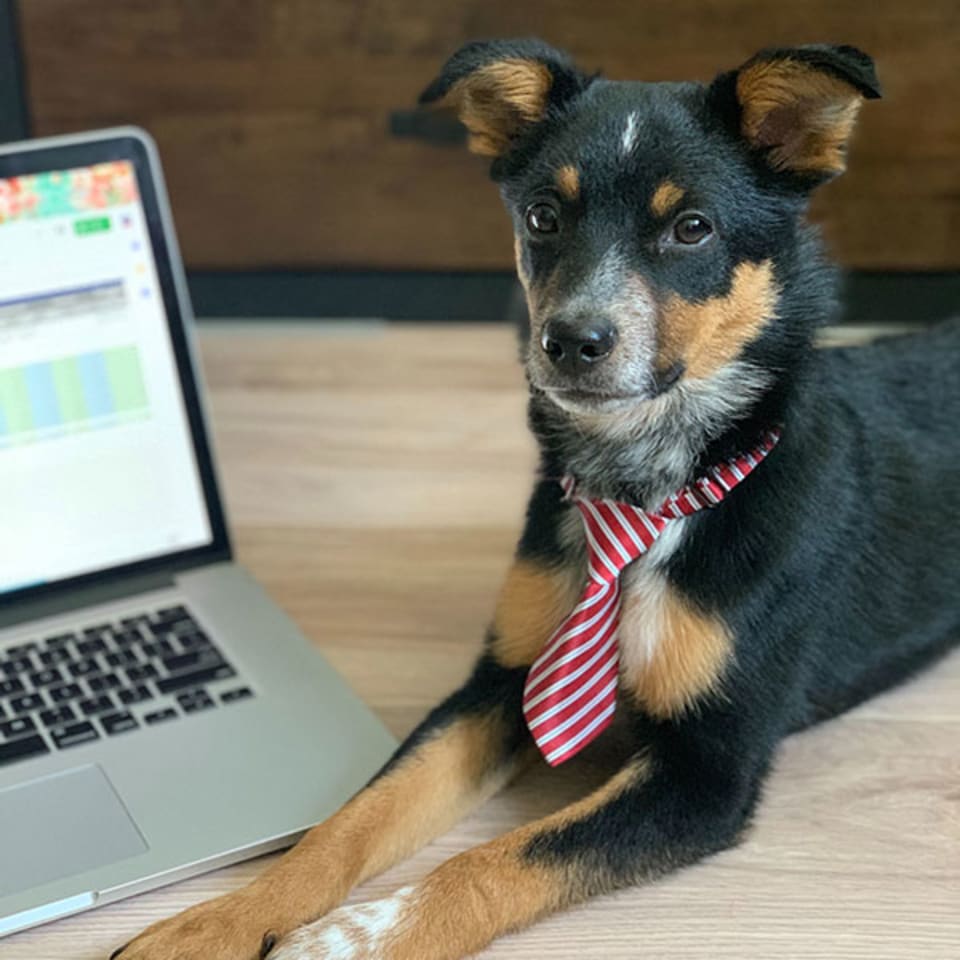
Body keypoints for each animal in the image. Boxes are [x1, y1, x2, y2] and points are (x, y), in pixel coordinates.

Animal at [114, 37, 960, 960]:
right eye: (543, 217)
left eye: (691, 227)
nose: (571, 341)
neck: (645, 487)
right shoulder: (499, 682)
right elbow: (352, 820)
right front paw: (213, 922)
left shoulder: (709, 769)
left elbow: (496, 860)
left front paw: (348, 942)